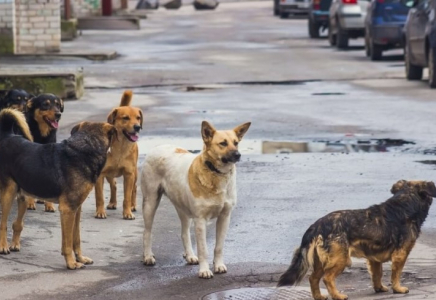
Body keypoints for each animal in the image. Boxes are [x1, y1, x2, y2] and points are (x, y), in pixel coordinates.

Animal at [0, 109, 116, 270]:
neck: (86, 147)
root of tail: (7, 135)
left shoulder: (76, 209)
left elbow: (76, 239)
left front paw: (80, 258)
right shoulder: (67, 210)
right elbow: (67, 243)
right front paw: (71, 263)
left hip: (23, 195)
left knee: (16, 223)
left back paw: (14, 244)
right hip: (8, 193)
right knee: (3, 223)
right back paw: (3, 246)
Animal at [95, 90, 143, 219]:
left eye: (138, 118)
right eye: (125, 118)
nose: (137, 127)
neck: (120, 147)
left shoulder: (129, 174)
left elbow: (127, 197)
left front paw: (127, 212)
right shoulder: (100, 175)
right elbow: (99, 197)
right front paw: (100, 212)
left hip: (134, 174)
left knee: (134, 188)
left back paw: (133, 205)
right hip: (109, 174)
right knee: (114, 185)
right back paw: (112, 203)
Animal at [141, 120, 250, 278]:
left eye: (236, 143)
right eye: (223, 143)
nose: (238, 155)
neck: (215, 173)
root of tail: (158, 147)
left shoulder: (224, 217)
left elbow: (219, 247)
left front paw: (218, 265)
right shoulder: (200, 220)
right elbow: (203, 249)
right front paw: (204, 270)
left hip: (183, 209)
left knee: (184, 233)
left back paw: (190, 255)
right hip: (150, 202)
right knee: (147, 232)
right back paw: (148, 256)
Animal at [278, 180, 436, 300]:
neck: (406, 203)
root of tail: (317, 225)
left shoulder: (374, 258)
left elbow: (377, 274)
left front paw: (379, 288)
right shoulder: (400, 254)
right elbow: (395, 274)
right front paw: (398, 289)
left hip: (321, 261)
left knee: (313, 278)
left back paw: (319, 296)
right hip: (341, 259)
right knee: (327, 278)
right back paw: (338, 296)